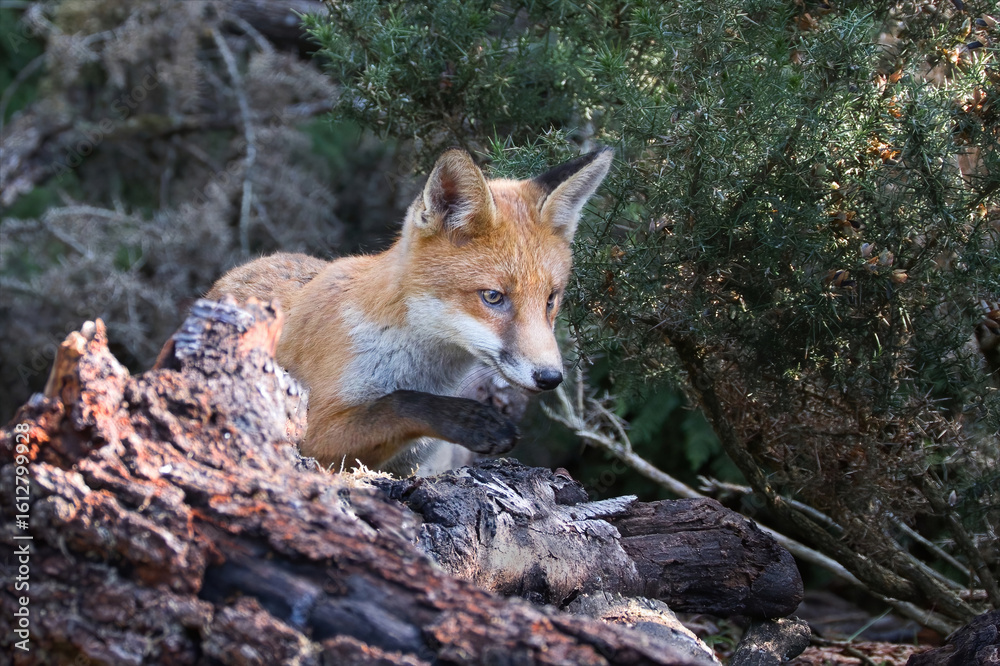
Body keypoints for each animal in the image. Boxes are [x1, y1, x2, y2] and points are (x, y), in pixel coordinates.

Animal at [207, 146, 614, 474]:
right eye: (493, 297)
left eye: (550, 299)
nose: (550, 378)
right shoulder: (313, 431)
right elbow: (398, 404)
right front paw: (473, 421)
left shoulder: (418, 463)